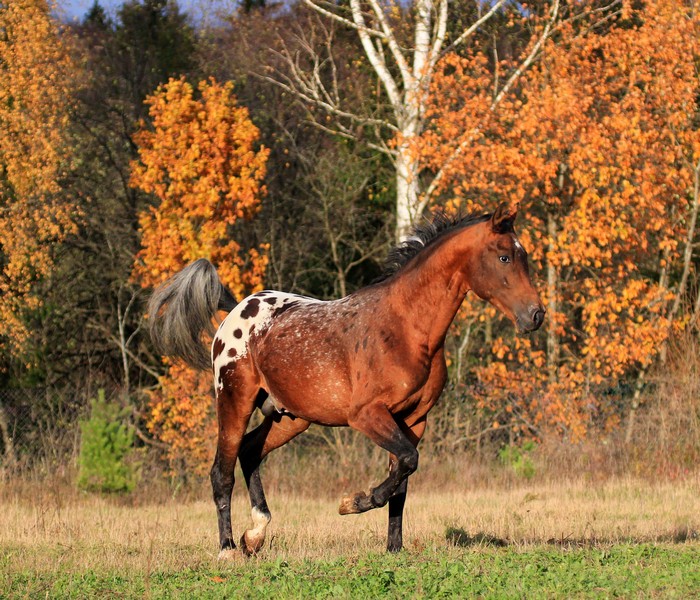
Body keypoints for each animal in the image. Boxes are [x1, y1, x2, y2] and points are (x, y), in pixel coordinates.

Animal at [149, 203, 548, 556]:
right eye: (504, 257)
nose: (536, 315)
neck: (407, 329)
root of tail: (236, 311)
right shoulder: (367, 415)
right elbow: (407, 462)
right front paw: (354, 502)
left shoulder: (414, 420)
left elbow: (403, 478)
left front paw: (394, 548)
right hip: (234, 399)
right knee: (222, 471)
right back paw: (228, 548)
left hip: (290, 417)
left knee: (250, 452)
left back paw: (255, 535)